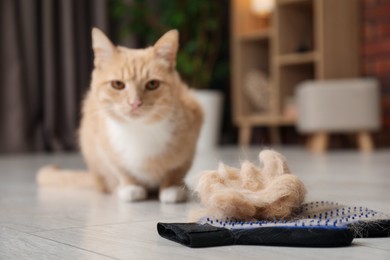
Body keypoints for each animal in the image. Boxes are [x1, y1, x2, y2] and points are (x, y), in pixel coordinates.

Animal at [37, 27, 204, 203]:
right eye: (117, 84)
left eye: (153, 84)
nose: (135, 103)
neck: (139, 130)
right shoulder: (103, 146)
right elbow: (121, 169)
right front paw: (130, 187)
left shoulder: (191, 136)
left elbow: (177, 169)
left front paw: (172, 187)